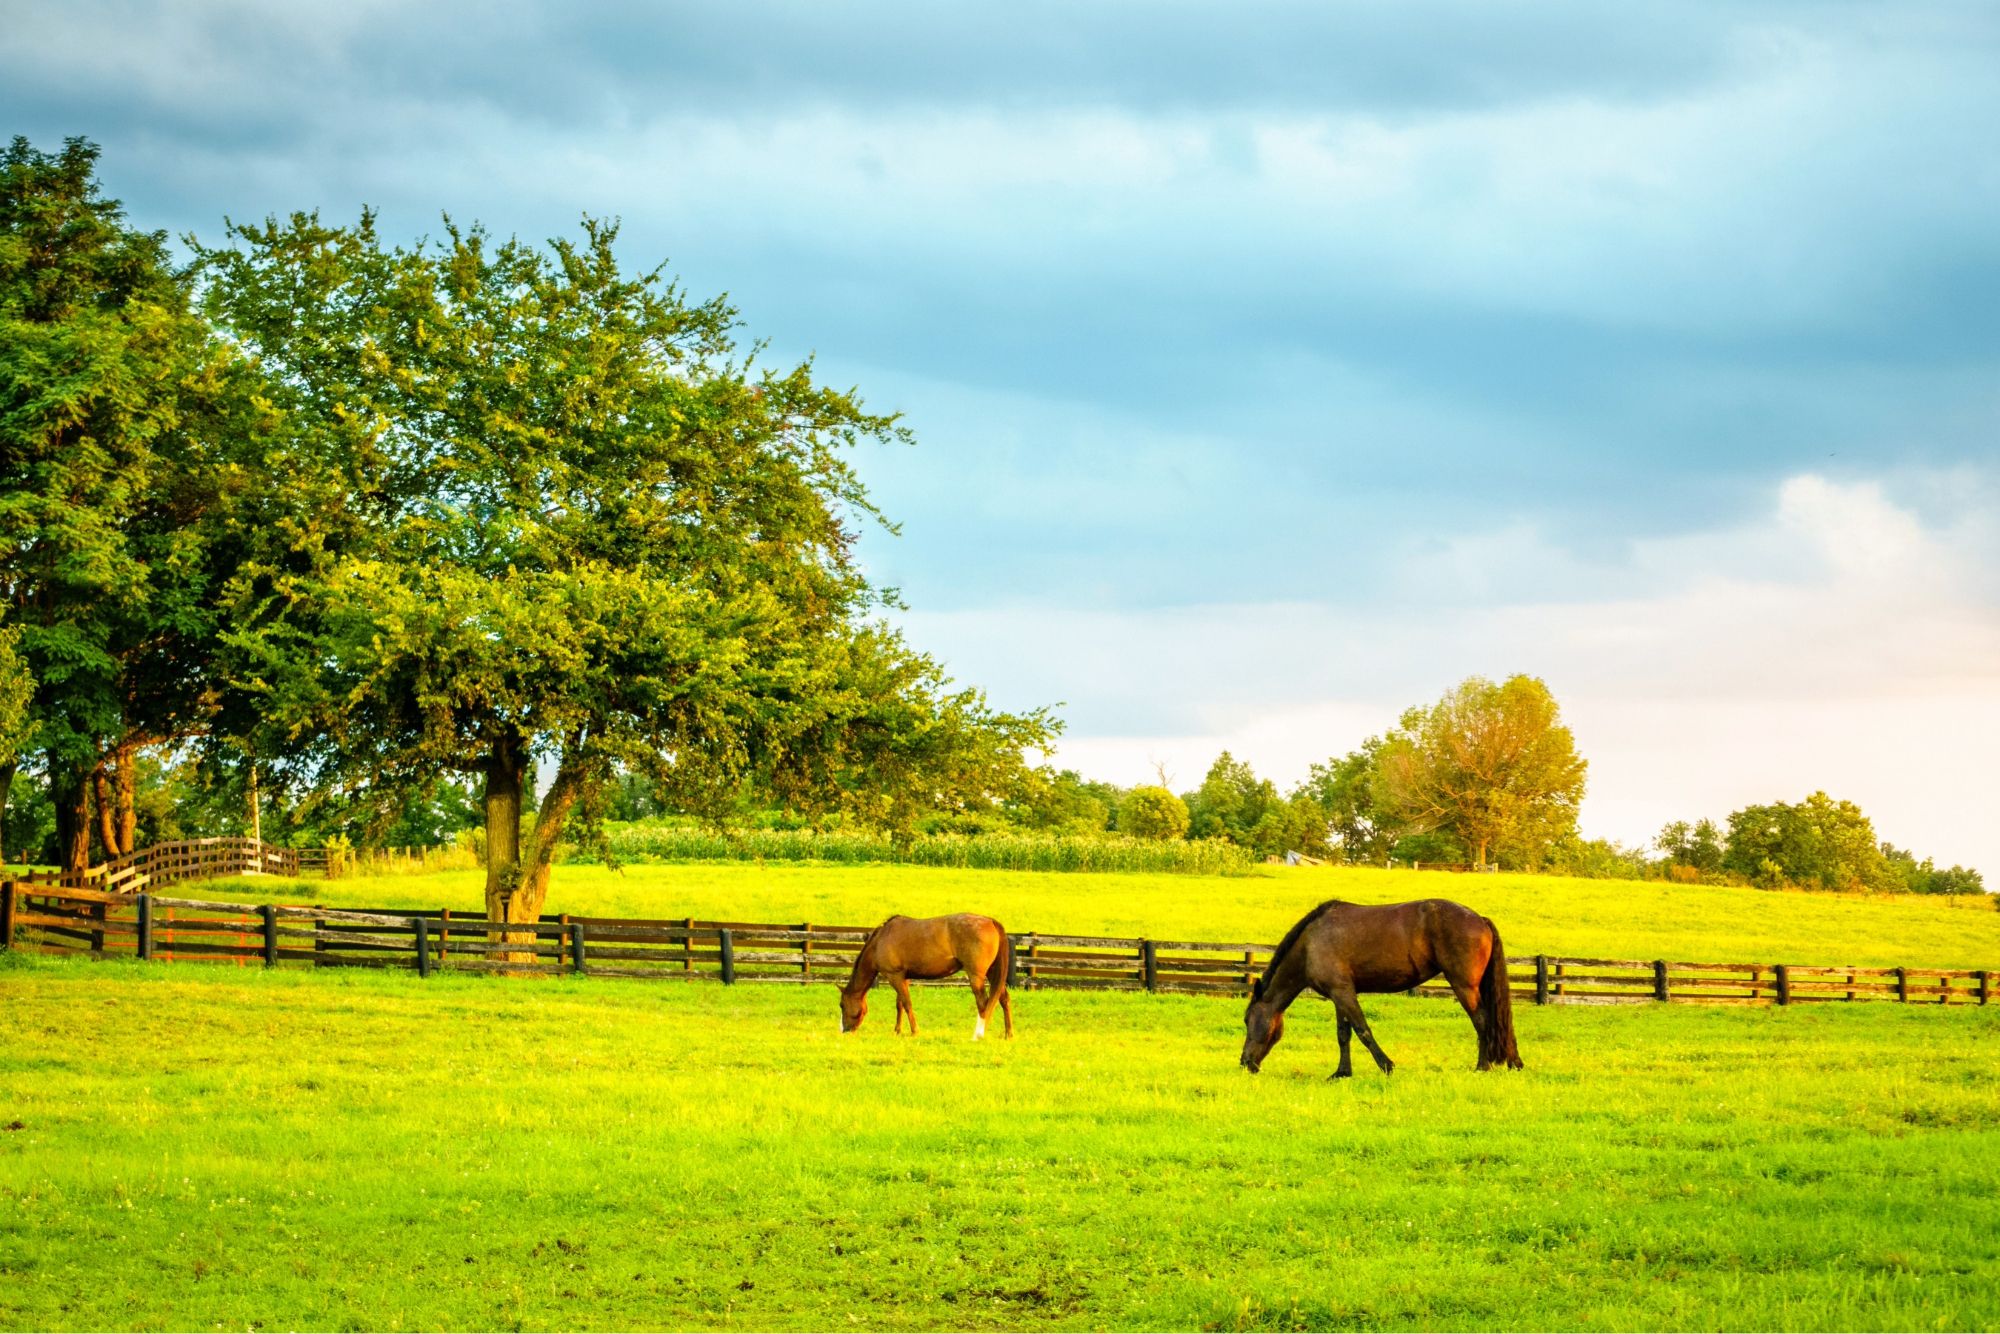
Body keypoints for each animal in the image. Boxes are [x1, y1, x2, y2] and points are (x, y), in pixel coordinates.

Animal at [839, 913, 1014, 1040]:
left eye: (841, 1005)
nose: (845, 1030)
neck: (881, 940)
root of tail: (990, 921)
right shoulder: (903, 977)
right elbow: (900, 1004)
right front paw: (897, 1030)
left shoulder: (894, 976)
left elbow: (907, 1004)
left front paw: (914, 1031)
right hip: (992, 973)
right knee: (1003, 999)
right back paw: (1009, 1034)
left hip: (976, 976)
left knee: (983, 1003)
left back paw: (978, 1034)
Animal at [1239, 898, 1522, 1077]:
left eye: (1247, 1020)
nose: (1245, 1063)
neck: (1311, 944)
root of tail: (1480, 920)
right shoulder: (1338, 995)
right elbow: (1344, 1035)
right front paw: (1342, 1072)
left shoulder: (1344, 993)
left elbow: (1363, 1030)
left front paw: (1386, 1065)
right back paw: (1513, 1062)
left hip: (1465, 987)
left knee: (1483, 1022)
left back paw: (1482, 1066)